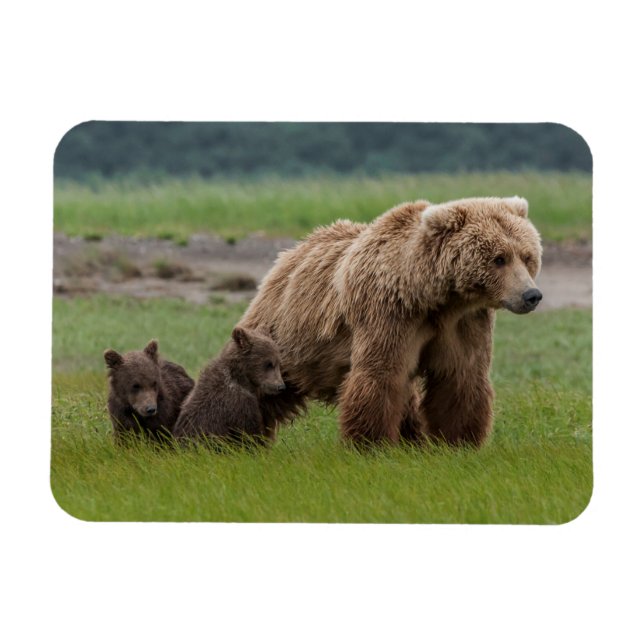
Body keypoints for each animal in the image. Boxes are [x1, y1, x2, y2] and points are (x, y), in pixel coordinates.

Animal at [239, 196, 543, 447]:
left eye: (527, 256)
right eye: (499, 258)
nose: (531, 295)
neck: (432, 296)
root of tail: (292, 251)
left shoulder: (462, 322)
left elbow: (460, 377)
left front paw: (458, 441)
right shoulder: (389, 314)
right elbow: (381, 375)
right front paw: (370, 442)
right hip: (289, 337)